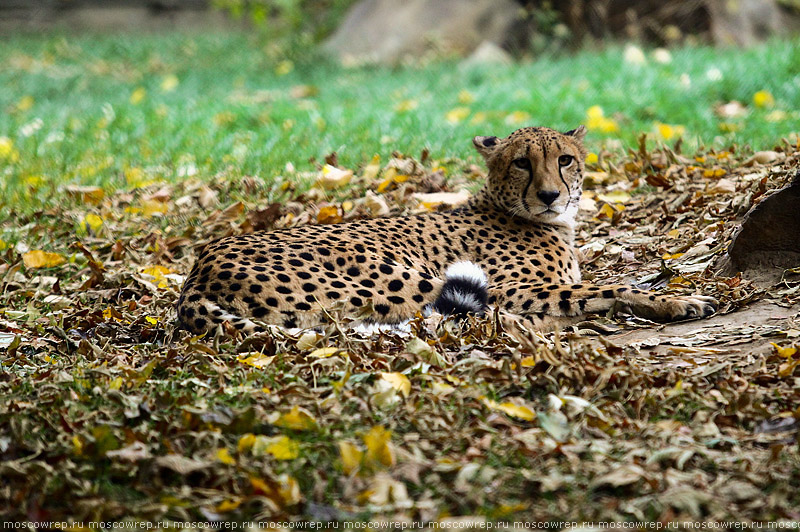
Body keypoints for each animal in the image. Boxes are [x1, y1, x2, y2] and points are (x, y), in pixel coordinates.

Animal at [177, 125, 720, 332]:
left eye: (564, 160)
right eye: (522, 163)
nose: (550, 195)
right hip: (410, 278)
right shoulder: (514, 287)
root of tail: (198, 270)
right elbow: (603, 289)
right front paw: (679, 300)